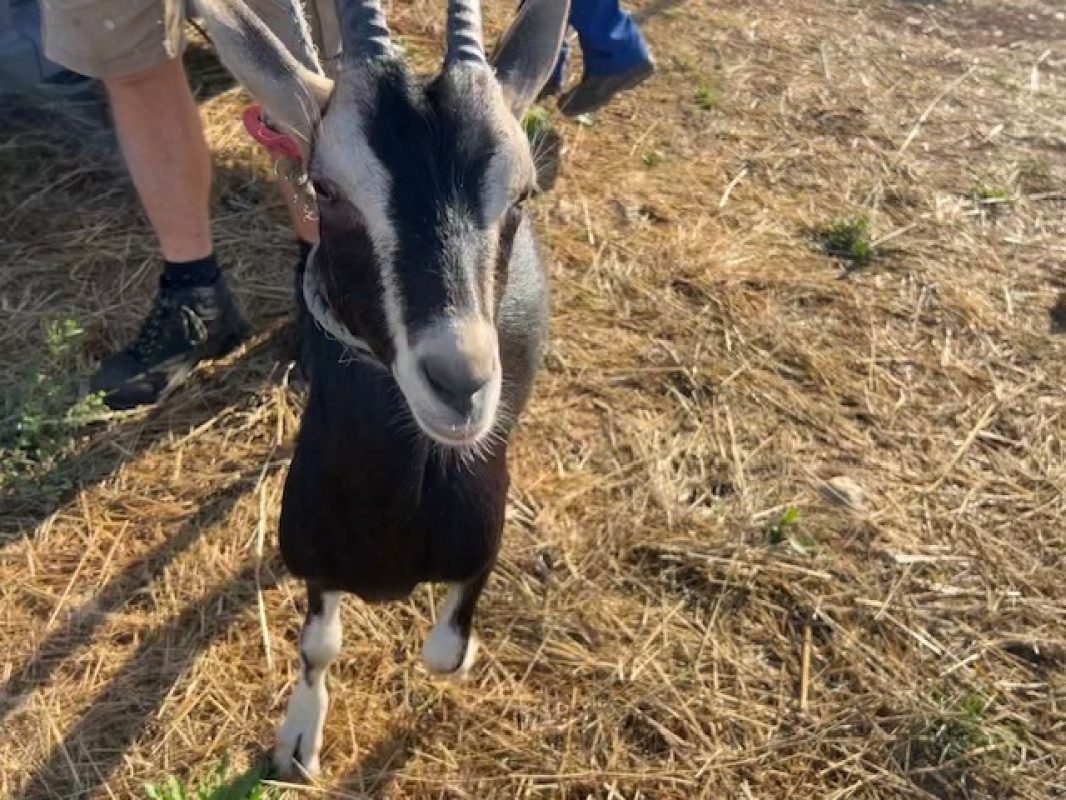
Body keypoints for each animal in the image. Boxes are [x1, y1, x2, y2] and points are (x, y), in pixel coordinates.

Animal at [194, 0, 569, 778]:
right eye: (327, 188)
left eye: (521, 193)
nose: (460, 385)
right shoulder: (313, 559)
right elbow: (318, 644)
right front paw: (298, 740)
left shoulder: (478, 551)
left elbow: (446, 654)